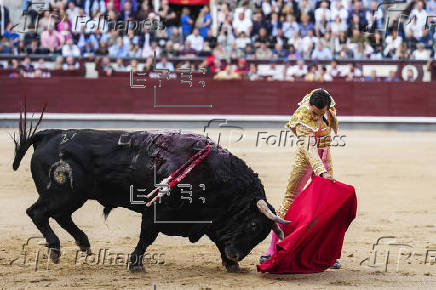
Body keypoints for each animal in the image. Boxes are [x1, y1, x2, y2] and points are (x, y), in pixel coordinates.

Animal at [11, 115, 288, 272]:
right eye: (254, 226)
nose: (236, 255)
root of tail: (50, 134)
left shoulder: (210, 219)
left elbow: (219, 239)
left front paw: (231, 264)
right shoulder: (157, 212)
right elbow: (146, 238)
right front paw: (135, 265)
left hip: (72, 197)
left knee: (60, 216)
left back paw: (83, 243)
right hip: (62, 194)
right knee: (37, 213)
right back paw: (56, 249)